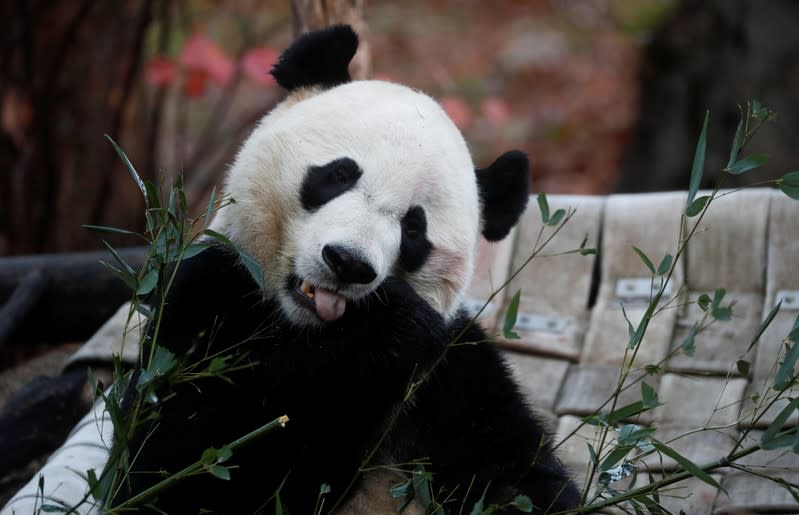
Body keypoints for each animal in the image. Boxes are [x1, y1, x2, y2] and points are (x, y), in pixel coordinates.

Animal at [117, 25, 580, 515]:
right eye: (339, 175)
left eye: (414, 228)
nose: (348, 262)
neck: (307, 330)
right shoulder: (206, 299)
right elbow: (185, 462)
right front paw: (390, 322)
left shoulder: (454, 377)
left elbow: (517, 478)